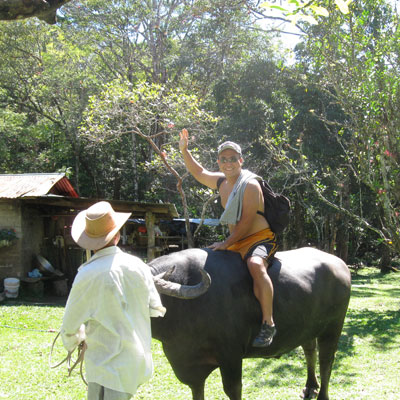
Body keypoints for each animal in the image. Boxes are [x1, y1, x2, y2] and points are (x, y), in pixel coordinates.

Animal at [150, 247, 350, 400]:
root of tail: (340, 264)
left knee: (326, 361)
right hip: (307, 327)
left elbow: (232, 389)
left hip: (333, 327)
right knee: (310, 352)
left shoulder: (231, 355)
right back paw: (310, 387)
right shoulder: (190, 366)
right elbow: (197, 389)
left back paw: (322, 395)